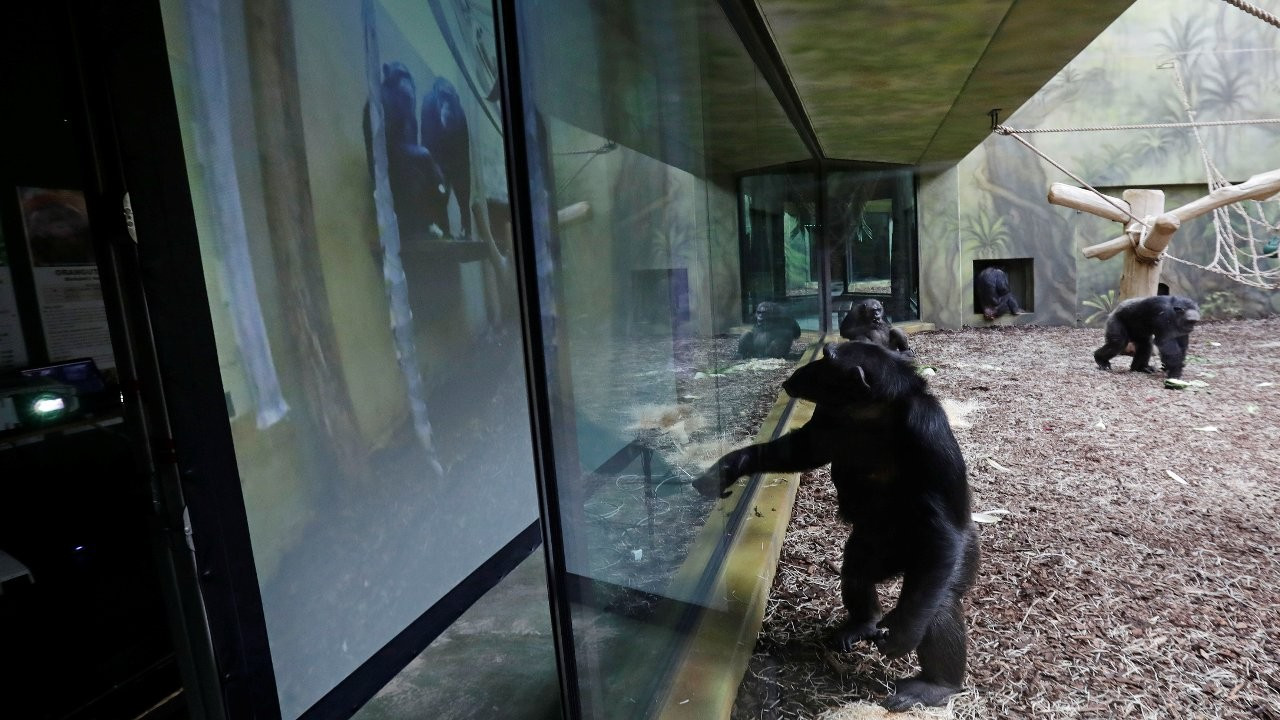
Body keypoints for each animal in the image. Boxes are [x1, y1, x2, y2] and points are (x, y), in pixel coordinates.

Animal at [422, 77, 473, 238]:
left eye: (449, 97)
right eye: (442, 96)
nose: (447, 106)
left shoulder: (462, 118)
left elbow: (462, 171)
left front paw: (466, 223)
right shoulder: (428, 107)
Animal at [696, 340, 972, 707]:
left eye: (827, 360)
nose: (801, 371)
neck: (870, 413)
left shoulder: (928, 431)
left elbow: (942, 526)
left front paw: (905, 632)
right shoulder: (827, 417)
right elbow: (800, 450)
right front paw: (730, 465)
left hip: (947, 559)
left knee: (939, 601)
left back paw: (937, 684)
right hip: (875, 545)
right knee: (857, 570)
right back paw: (862, 622)